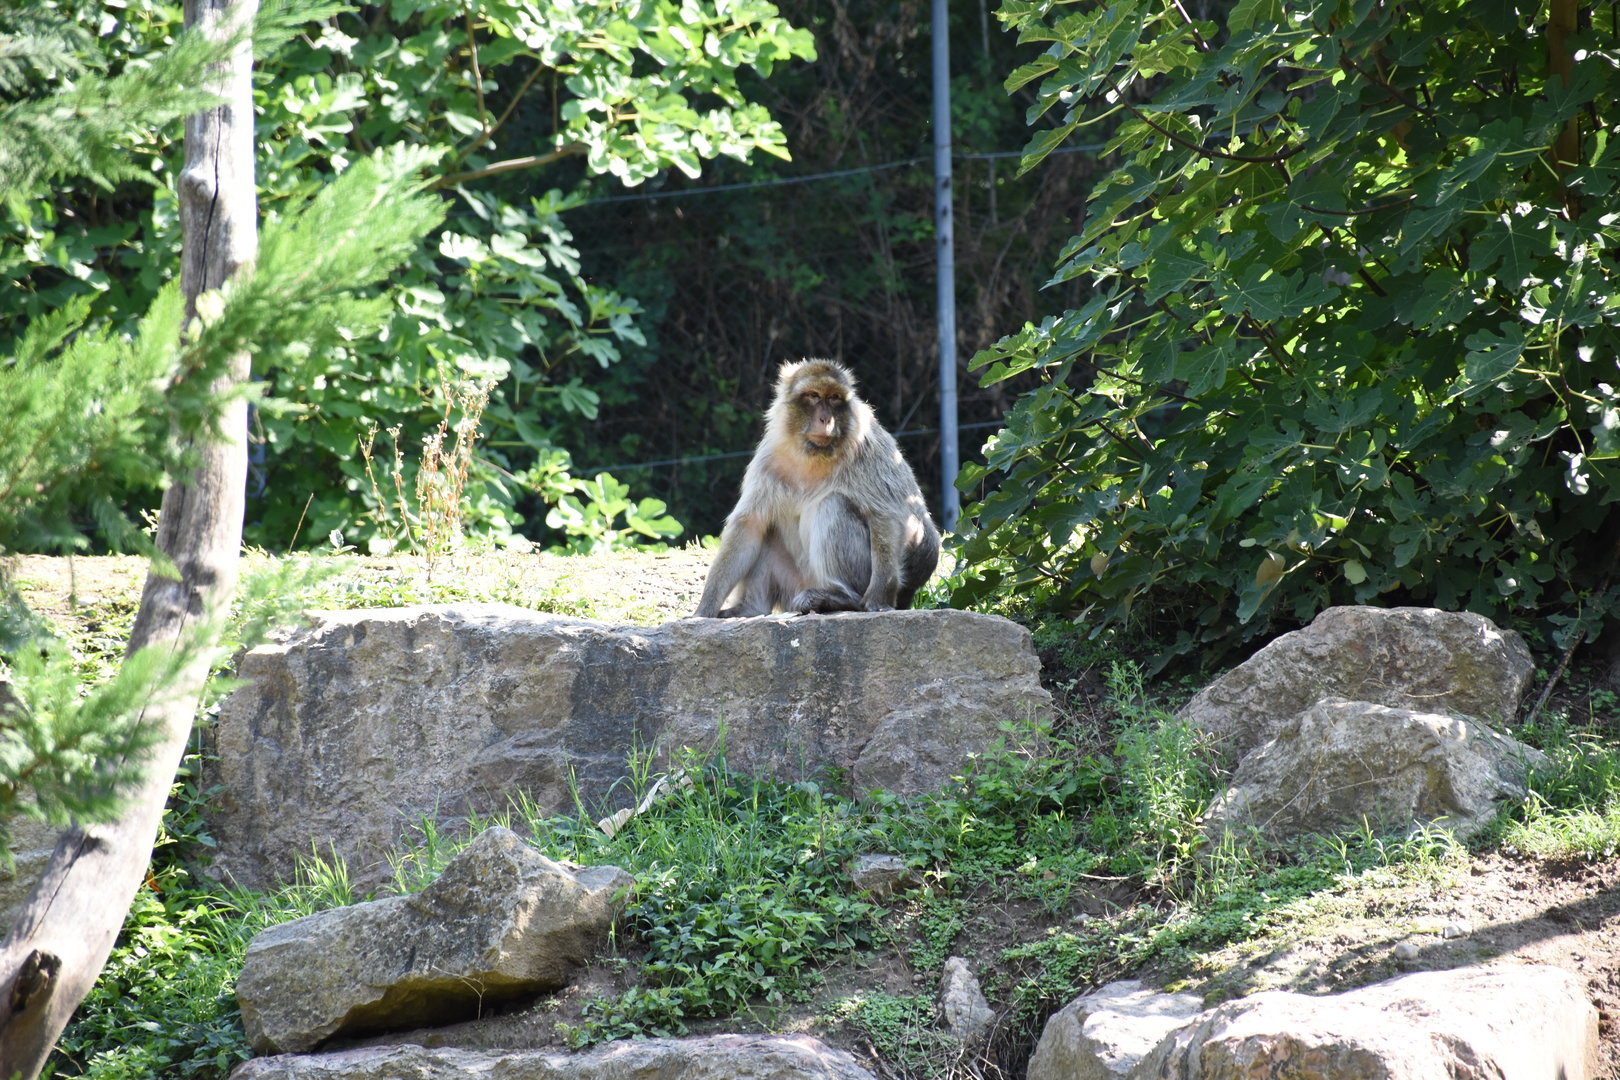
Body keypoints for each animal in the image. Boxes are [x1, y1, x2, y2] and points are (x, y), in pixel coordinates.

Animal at [694, 359, 941, 618]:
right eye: (813, 396)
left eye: (833, 398)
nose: (826, 420)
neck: (814, 455)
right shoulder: (768, 458)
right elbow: (750, 525)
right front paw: (705, 608)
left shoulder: (868, 444)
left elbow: (887, 515)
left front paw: (878, 599)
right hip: (793, 584)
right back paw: (750, 608)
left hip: (861, 575)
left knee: (833, 505)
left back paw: (840, 598)